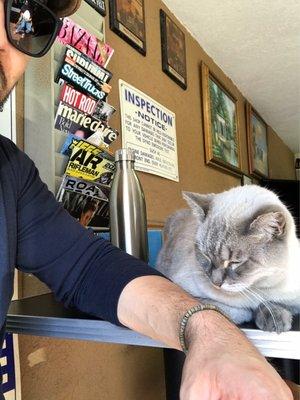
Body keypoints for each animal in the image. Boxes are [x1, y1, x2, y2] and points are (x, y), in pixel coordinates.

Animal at [156, 186, 300, 332]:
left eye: (235, 262)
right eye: (205, 256)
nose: (216, 283)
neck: (257, 287)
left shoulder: (293, 300)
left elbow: (273, 303)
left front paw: (276, 319)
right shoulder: (182, 290)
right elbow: (239, 310)